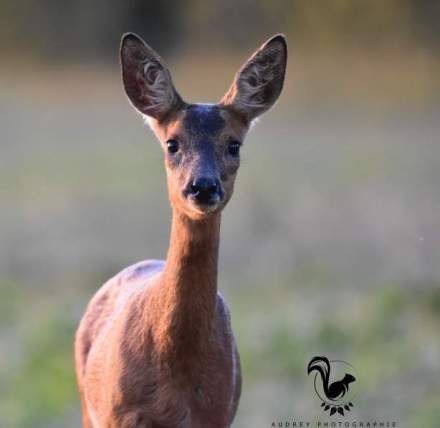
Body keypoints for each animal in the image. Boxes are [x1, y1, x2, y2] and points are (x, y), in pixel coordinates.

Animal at [74, 31, 288, 426]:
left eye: (234, 144)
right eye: (172, 143)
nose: (202, 186)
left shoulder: (217, 413)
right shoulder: (120, 413)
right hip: (88, 406)